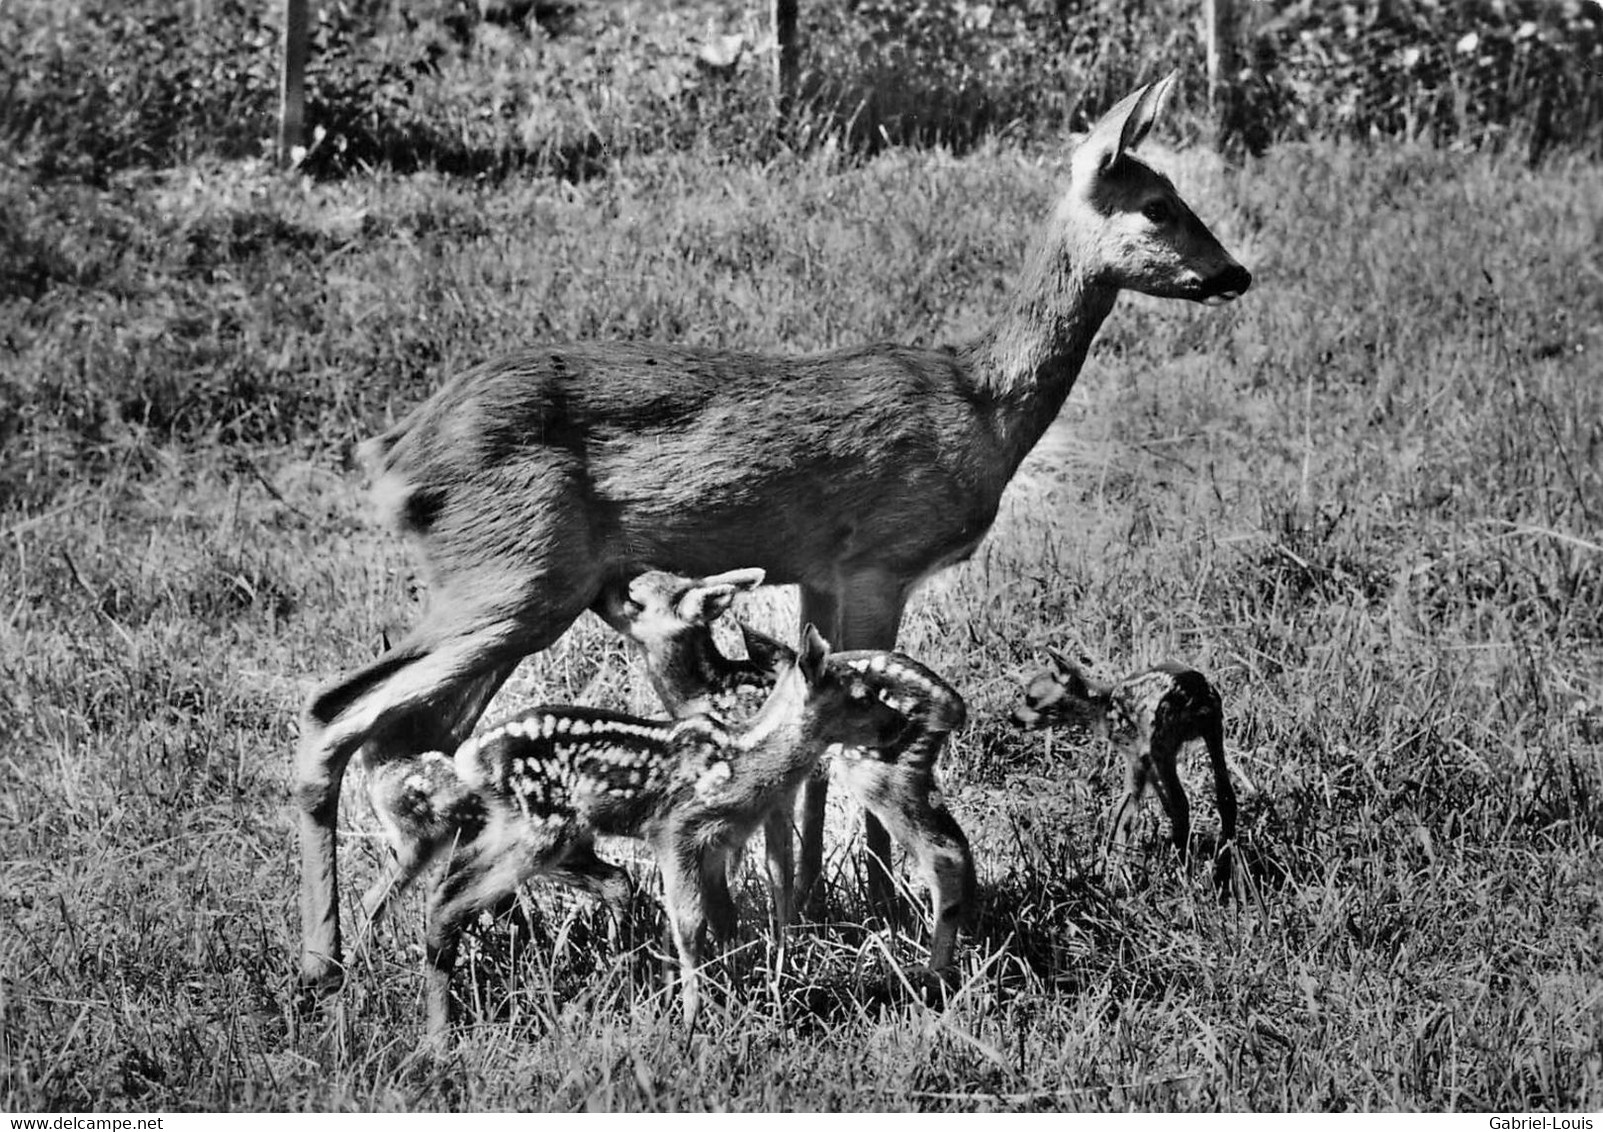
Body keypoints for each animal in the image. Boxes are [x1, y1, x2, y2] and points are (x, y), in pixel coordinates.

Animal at [298, 72, 1250, 987]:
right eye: (1157, 204)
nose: (1235, 273)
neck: (982, 409)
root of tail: (392, 456)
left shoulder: (817, 575)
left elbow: (813, 750)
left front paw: (813, 908)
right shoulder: (878, 562)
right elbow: (848, 743)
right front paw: (874, 906)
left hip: (509, 591)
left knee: (406, 739)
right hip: (509, 581)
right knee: (334, 713)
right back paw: (325, 961)